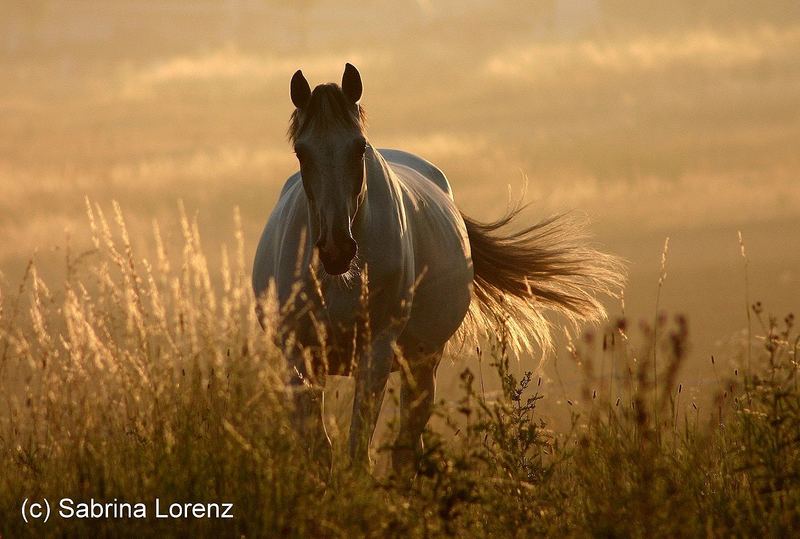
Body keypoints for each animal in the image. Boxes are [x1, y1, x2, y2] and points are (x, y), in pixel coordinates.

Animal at [253, 63, 620, 474]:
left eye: (359, 147)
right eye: (301, 152)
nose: (336, 249)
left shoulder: (375, 355)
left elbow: (358, 452)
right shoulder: (298, 357)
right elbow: (318, 450)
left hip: (422, 364)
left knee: (406, 446)